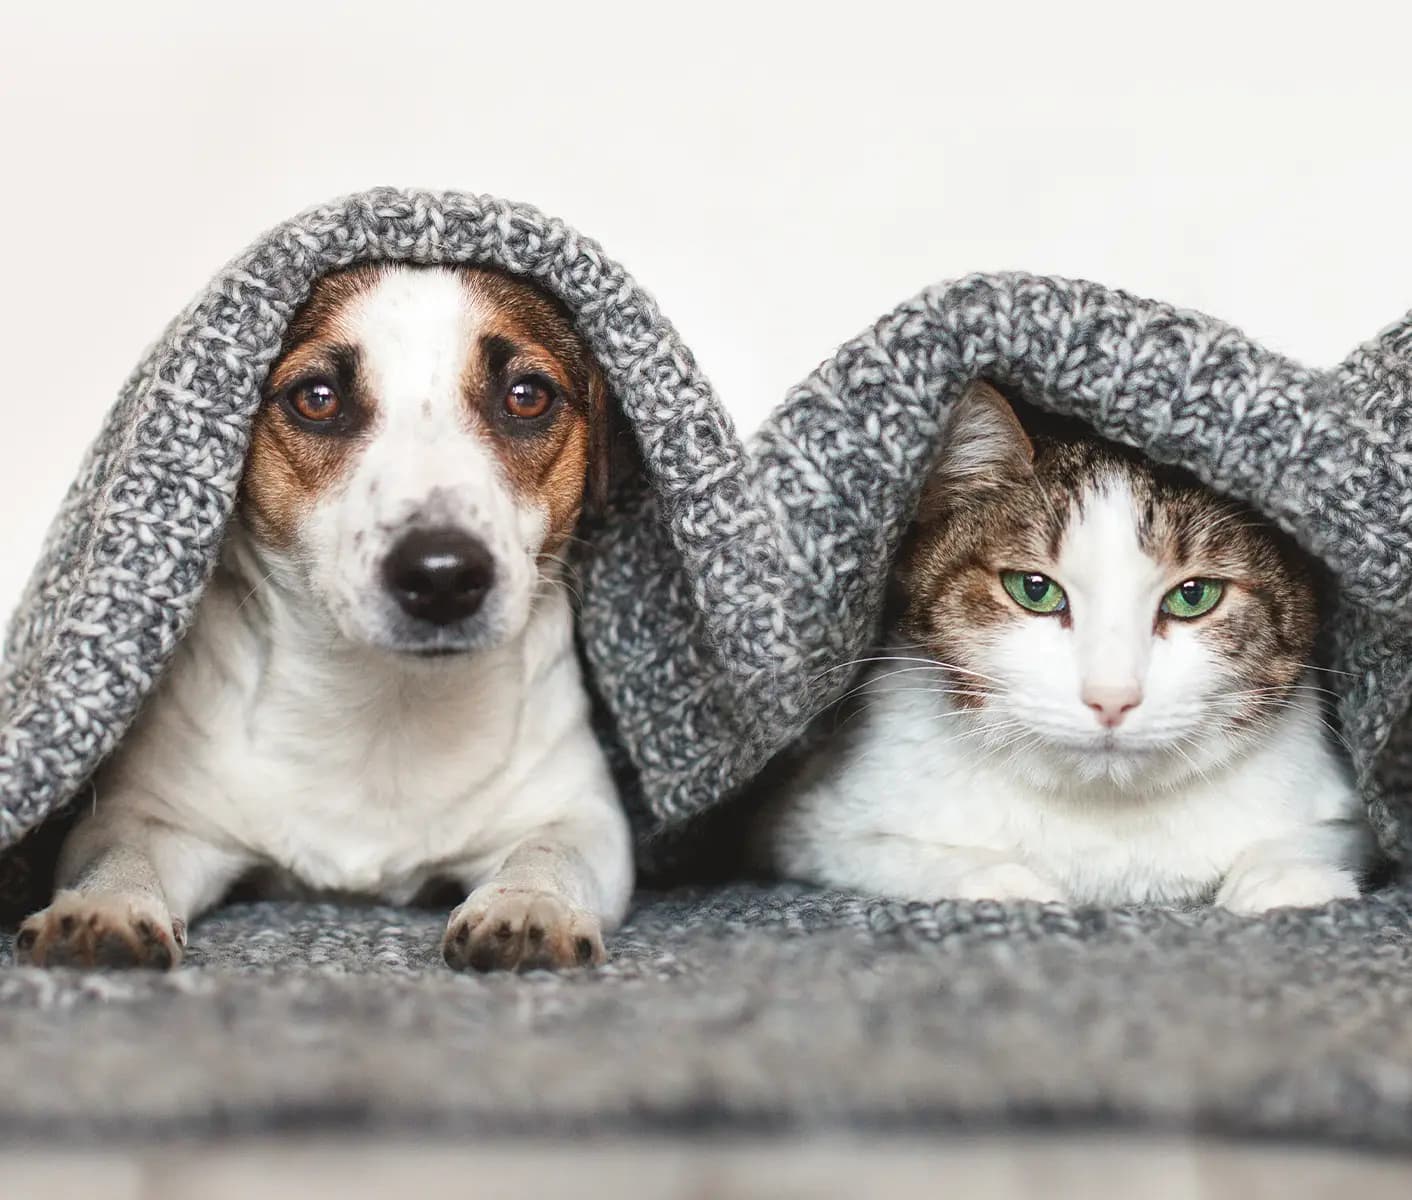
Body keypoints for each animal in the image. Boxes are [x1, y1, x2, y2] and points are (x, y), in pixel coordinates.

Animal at [15, 264, 635, 971]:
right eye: (316, 398)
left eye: (527, 396)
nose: (442, 575)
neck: (387, 709)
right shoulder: (150, 818)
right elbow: (120, 855)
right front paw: (104, 908)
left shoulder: (582, 815)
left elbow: (549, 850)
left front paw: (529, 904)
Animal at [756, 381, 1372, 909]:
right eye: (1034, 588)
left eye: (1194, 595)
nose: (1111, 698)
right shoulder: (811, 822)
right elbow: (891, 853)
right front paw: (1001, 881)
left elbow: (1325, 834)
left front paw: (1288, 875)